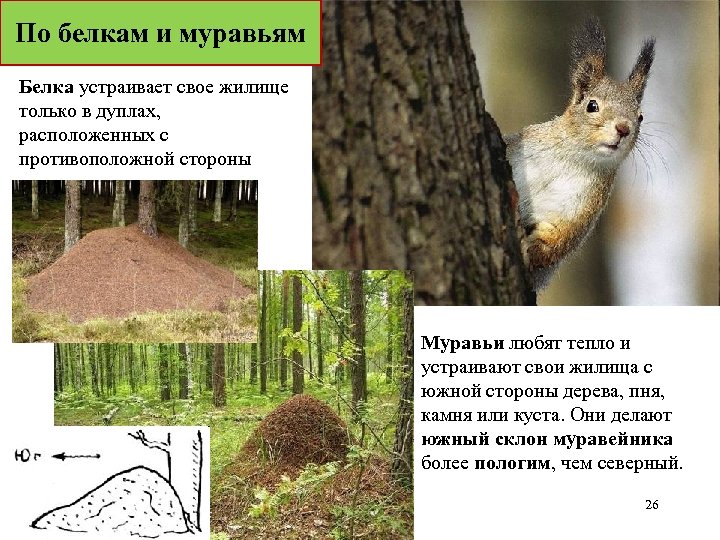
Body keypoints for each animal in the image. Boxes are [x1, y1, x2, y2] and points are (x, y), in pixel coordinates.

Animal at [504, 17, 655, 289]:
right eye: (592, 105)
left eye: (640, 116)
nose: (623, 128)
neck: (572, 158)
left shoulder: (582, 206)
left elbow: (558, 238)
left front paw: (532, 251)